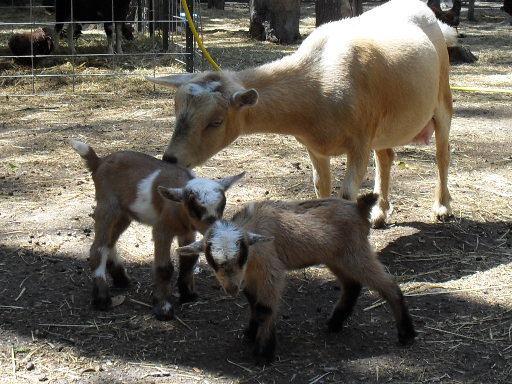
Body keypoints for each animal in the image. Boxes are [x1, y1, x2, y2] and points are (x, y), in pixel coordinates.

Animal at [148, 0, 456, 228]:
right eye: (176, 111)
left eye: (216, 121)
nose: (170, 158)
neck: (318, 81)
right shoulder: (315, 147)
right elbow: (321, 187)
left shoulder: (359, 142)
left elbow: (347, 193)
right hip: (383, 126)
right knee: (387, 157)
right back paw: (380, 214)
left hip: (442, 97)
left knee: (442, 154)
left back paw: (442, 207)